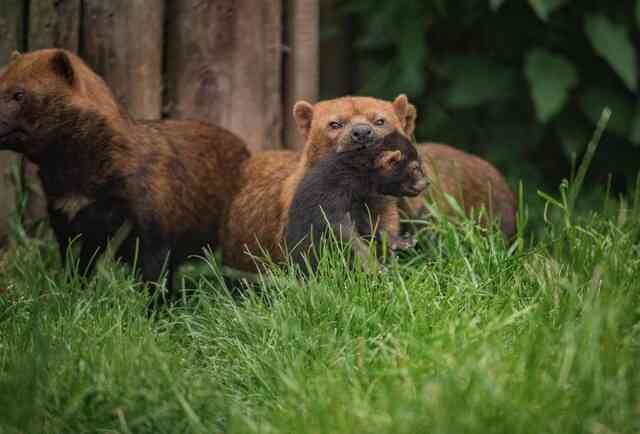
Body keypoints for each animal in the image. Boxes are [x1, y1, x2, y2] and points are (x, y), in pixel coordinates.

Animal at [0, 49, 250, 302]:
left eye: (19, 94)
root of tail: (245, 149)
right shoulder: (71, 230)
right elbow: (76, 275)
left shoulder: (151, 235)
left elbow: (154, 285)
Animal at [286, 131, 428, 274]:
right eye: (415, 168)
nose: (427, 182)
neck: (357, 172)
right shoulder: (329, 199)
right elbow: (344, 233)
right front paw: (374, 266)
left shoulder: (358, 205)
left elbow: (369, 225)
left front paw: (398, 241)